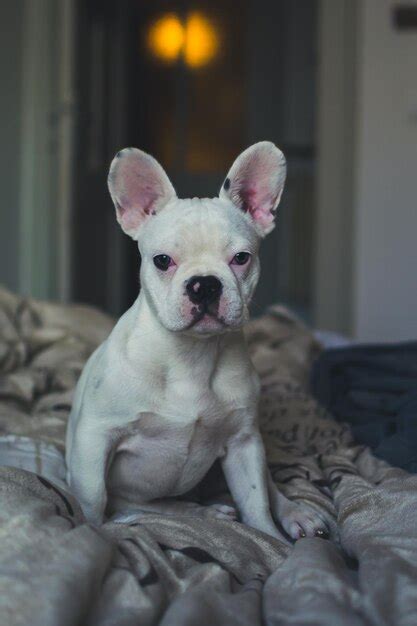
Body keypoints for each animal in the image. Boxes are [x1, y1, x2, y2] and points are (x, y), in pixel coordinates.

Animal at [65, 141, 326, 540]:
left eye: (241, 258)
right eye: (162, 260)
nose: (205, 284)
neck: (189, 354)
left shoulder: (243, 443)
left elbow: (256, 504)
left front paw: (270, 541)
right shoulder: (94, 438)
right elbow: (93, 501)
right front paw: (96, 534)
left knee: (268, 487)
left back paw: (294, 512)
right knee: (143, 506)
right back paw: (198, 513)